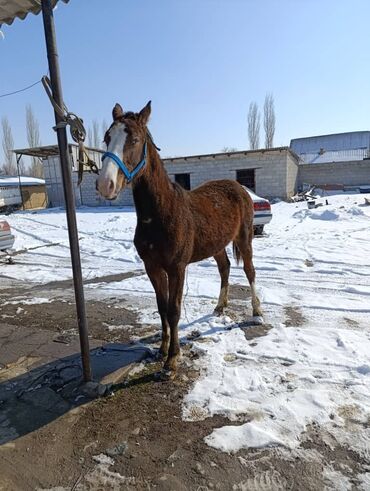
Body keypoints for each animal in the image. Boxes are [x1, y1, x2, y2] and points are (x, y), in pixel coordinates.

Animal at [97, 102, 262, 374]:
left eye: (135, 139)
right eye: (107, 138)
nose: (105, 185)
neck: (160, 215)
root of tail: (240, 188)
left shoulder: (177, 268)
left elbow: (174, 310)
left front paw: (172, 359)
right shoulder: (152, 267)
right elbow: (161, 307)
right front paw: (162, 349)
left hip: (244, 237)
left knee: (249, 271)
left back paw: (257, 311)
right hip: (217, 245)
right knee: (225, 268)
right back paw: (220, 307)